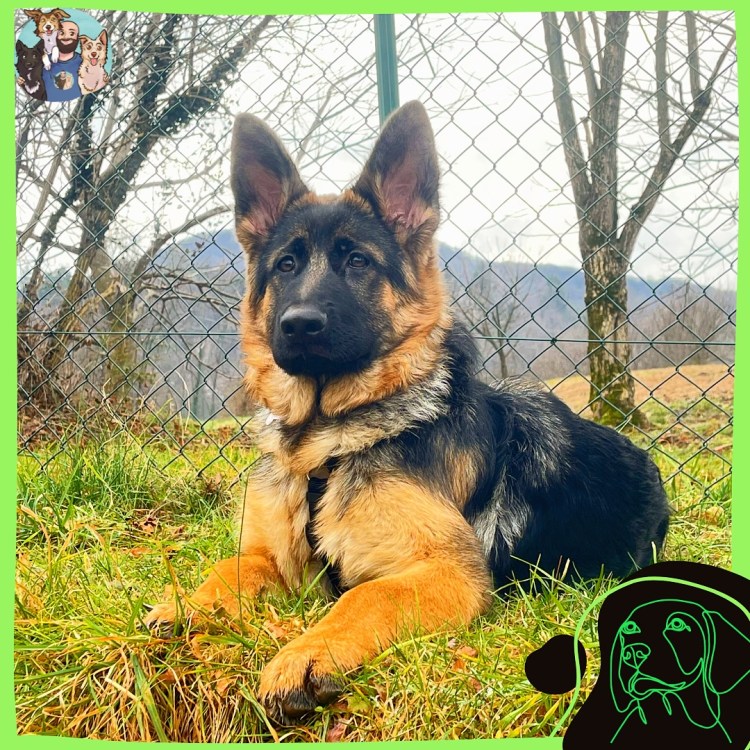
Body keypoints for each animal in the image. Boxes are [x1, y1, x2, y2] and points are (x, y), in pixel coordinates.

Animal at [144, 101, 671, 725]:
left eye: (357, 261)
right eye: (286, 265)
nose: (298, 325)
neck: (329, 441)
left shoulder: (448, 570)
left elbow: (369, 593)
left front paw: (307, 654)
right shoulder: (276, 559)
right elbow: (233, 566)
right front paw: (184, 603)